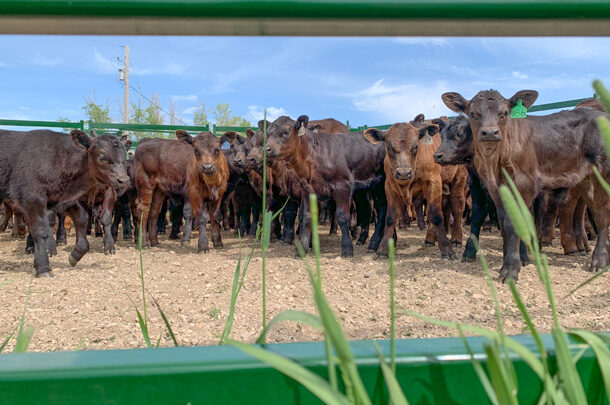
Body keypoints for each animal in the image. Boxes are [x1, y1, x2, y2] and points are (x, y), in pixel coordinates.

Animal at [442, 88, 608, 280]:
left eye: (505, 113)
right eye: (472, 114)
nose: (490, 133)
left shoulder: (525, 185)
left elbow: (515, 222)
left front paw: (511, 268)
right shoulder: (496, 191)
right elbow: (503, 223)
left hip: (602, 175)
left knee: (601, 214)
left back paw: (599, 261)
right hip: (586, 181)